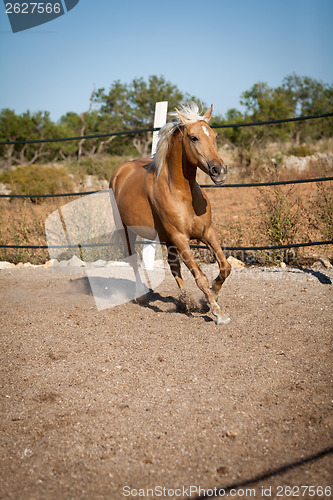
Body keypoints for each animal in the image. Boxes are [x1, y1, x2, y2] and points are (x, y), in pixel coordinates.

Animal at [110, 103, 230, 326]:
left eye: (215, 136)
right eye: (193, 137)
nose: (219, 171)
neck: (182, 193)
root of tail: (120, 171)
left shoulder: (207, 232)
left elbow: (225, 267)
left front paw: (213, 294)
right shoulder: (181, 238)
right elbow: (200, 277)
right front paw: (219, 313)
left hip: (167, 239)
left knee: (175, 267)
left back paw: (184, 302)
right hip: (128, 231)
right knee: (133, 260)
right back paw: (141, 296)